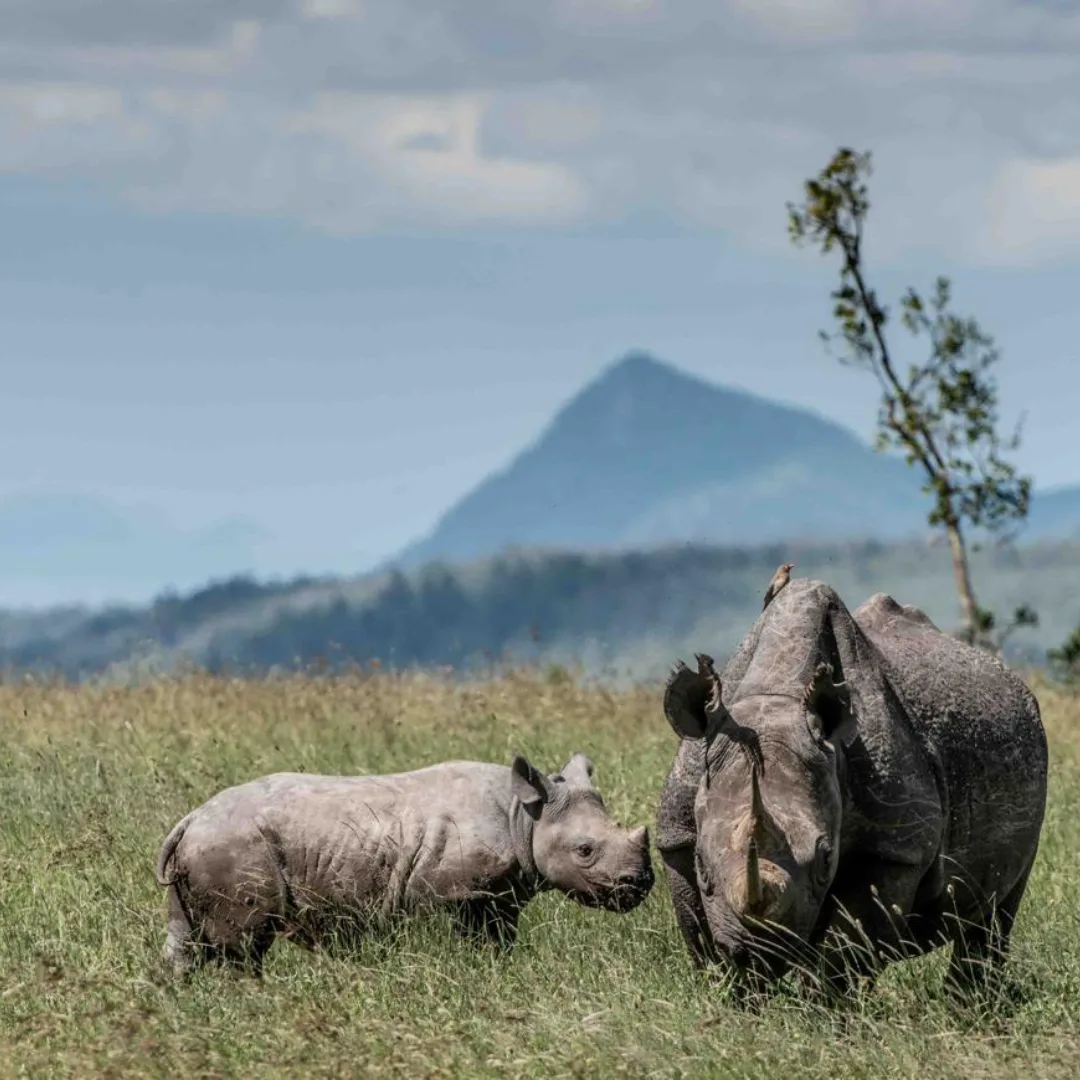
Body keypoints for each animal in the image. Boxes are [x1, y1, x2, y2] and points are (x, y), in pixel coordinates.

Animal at [156, 751, 654, 975]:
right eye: (585, 851)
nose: (640, 883)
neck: (524, 817)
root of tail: (189, 819)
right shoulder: (454, 892)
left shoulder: (498, 896)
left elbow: (498, 942)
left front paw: (497, 973)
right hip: (233, 846)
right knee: (242, 946)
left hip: (206, 847)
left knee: (185, 940)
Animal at [657, 577, 1047, 998]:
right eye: (700, 861)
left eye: (827, 858)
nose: (758, 951)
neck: (776, 697)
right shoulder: (677, 833)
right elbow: (698, 932)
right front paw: (738, 994)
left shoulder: (893, 849)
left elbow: (844, 947)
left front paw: (820, 1005)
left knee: (995, 911)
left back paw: (967, 1001)